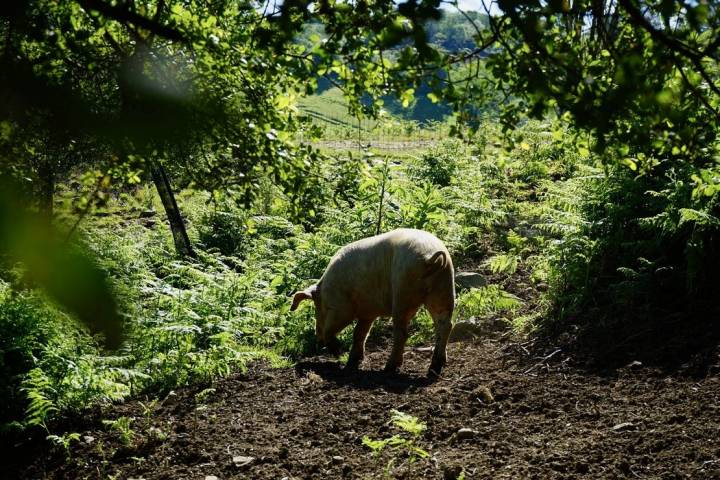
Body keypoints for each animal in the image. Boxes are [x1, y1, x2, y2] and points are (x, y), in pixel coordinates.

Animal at [288, 228, 452, 376]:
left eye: (319, 308)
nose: (318, 338)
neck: (325, 291)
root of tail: (431, 258)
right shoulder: (368, 312)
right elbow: (359, 333)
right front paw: (351, 363)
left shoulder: (341, 307)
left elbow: (335, 328)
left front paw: (338, 354)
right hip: (443, 289)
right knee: (444, 325)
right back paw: (434, 369)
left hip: (403, 294)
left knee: (402, 333)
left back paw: (388, 368)